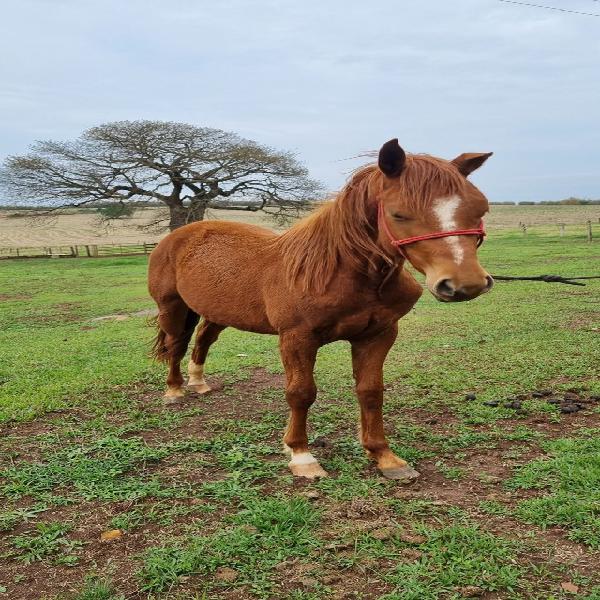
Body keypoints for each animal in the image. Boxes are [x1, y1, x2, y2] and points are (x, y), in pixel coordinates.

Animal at [149, 139, 492, 482]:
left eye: (480, 209)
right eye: (399, 214)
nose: (465, 284)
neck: (340, 274)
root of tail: (176, 237)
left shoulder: (378, 335)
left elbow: (371, 391)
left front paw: (384, 456)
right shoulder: (297, 339)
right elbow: (301, 393)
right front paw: (301, 455)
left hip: (219, 311)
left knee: (203, 339)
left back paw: (198, 382)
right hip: (172, 307)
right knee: (175, 344)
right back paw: (174, 390)